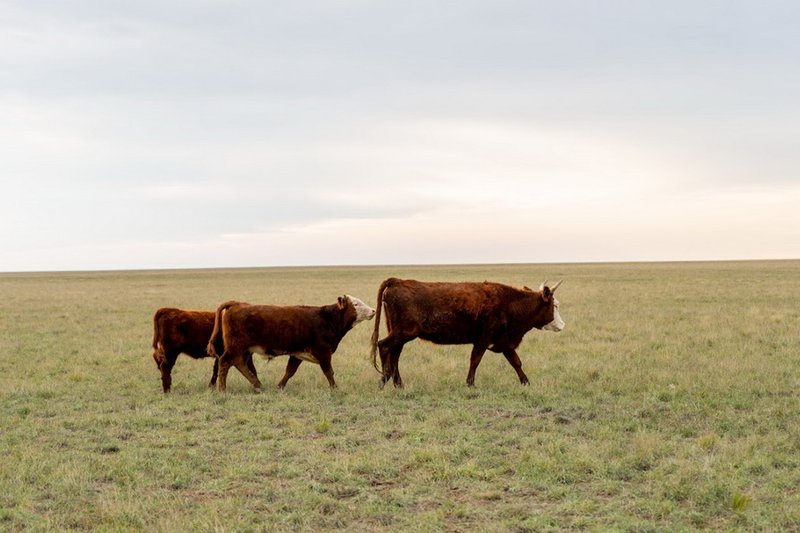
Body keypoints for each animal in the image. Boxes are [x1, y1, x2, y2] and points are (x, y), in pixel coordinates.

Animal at [206, 296, 376, 390]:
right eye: (356, 304)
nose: (374, 310)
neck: (327, 319)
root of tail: (238, 304)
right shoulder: (323, 352)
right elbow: (329, 371)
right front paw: (335, 388)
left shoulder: (297, 354)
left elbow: (290, 371)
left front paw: (280, 386)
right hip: (236, 346)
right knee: (225, 362)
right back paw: (223, 389)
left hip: (244, 349)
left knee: (239, 364)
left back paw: (258, 385)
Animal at [368, 278, 564, 386]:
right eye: (555, 305)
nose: (562, 325)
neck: (510, 303)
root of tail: (397, 281)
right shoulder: (483, 340)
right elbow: (475, 361)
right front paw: (470, 383)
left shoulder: (504, 342)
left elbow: (516, 362)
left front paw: (526, 382)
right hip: (403, 333)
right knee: (383, 346)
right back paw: (385, 379)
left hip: (400, 334)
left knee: (394, 355)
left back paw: (398, 383)